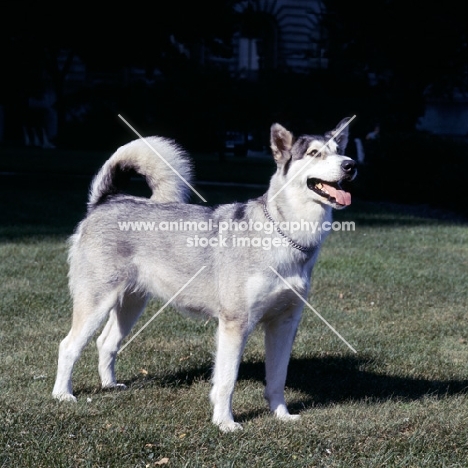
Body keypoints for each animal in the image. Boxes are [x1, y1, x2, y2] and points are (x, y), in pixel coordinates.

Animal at [51, 118, 356, 432]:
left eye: (340, 150)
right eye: (315, 153)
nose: (350, 165)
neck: (286, 237)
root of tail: (106, 201)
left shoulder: (284, 324)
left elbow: (277, 378)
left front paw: (281, 414)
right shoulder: (235, 324)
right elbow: (226, 381)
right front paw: (224, 422)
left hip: (132, 304)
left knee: (106, 343)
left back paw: (109, 385)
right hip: (96, 304)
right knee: (68, 346)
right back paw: (63, 394)